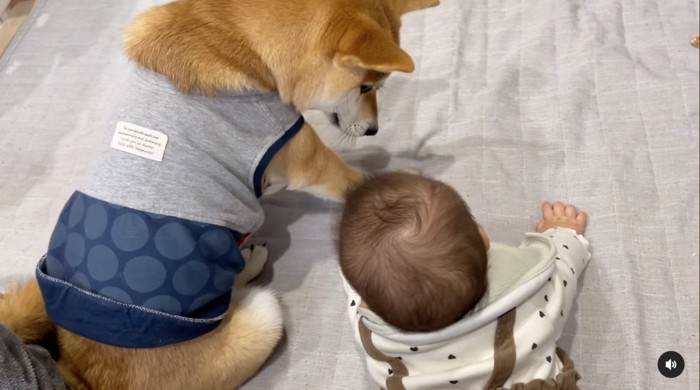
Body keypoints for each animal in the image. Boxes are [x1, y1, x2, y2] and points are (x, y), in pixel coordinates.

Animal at [0, 0, 438, 388]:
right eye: (365, 86)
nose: (374, 130)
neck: (237, 44)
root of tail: (82, 375)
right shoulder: (304, 155)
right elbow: (352, 179)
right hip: (264, 313)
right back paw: (251, 263)